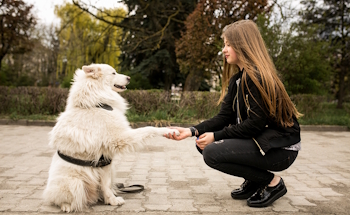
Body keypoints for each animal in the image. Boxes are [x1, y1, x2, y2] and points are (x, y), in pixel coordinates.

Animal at [43, 63, 179, 212]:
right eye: (113, 73)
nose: (129, 78)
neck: (97, 104)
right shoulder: (120, 138)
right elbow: (148, 128)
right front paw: (169, 130)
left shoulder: (106, 162)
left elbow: (106, 185)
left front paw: (111, 200)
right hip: (75, 183)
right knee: (61, 200)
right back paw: (67, 206)